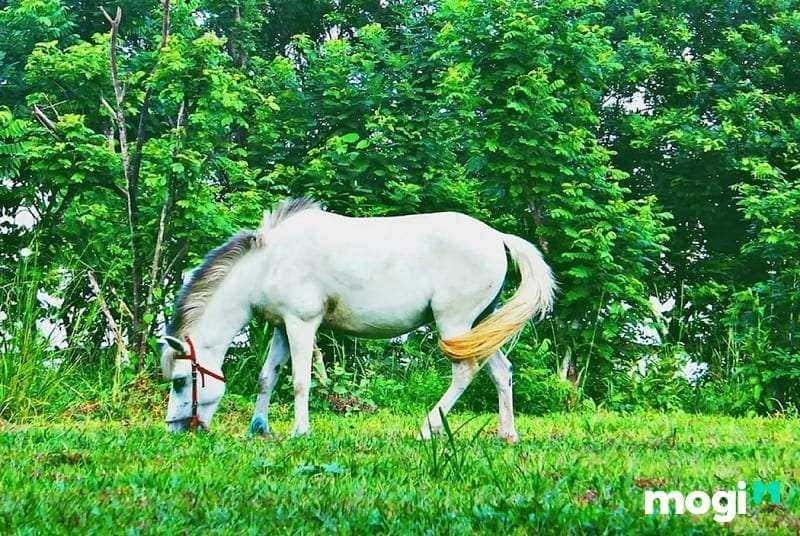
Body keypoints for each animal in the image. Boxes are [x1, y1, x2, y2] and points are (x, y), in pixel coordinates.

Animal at [159, 199, 552, 442]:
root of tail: (497, 237)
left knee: (465, 371)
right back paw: (507, 434)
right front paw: (259, 428)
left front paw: (300, 431)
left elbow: (300, 381)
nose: (174, 429)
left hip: (454, 324)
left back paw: (428, 428)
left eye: (180, 381)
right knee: (501, 371)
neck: (267, 262)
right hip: (478, 327)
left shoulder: (302, 323)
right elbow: (267, 377)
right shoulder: (283, 327)